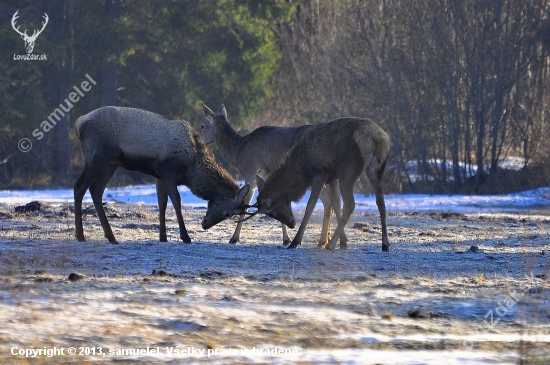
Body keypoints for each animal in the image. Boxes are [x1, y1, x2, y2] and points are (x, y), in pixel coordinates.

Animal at [74, 104, 250, 245]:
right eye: (228, 213)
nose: (205, 224)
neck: (191, 168)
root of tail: (78, 124)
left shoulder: (159, 177)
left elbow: (162, 204)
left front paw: (163, 237)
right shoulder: (167, 173)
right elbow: (176, 202)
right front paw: (185, 237)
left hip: (111, 163)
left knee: (96, 190)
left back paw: (111, 237)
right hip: (96, 156)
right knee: (80, 186)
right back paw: (80, 235)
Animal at [202, 104, 350, 249]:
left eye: (202, 126)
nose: (199, 139)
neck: (239, 151)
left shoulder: (251, 171)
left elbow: (247, 203)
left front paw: (234, 238)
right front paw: (286, 239)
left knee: (329, 201)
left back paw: (328, 241)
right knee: (332, 202)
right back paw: (327, 241)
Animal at [248, 116, 394, 250]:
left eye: (271, 213)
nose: (292, 223)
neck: (300, 170)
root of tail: (378, 138)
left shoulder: (320, 175)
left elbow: (310, 207)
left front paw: (296, 241)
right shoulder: (333, 178)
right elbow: (336, 204)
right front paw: (343, 242)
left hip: (347, 169)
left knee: (350, 204)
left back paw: (330, 244)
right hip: (375, 169)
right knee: (380, 200)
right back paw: (385, 244)